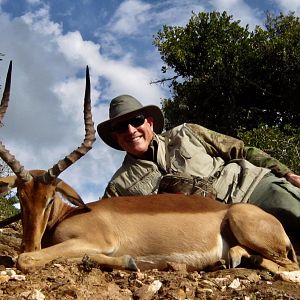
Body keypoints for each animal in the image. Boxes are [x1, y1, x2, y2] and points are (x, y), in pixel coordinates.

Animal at [0, 62, 298, 274]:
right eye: (20, 197)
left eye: (50, 199)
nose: (29, 243)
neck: (70, 214)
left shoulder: (96, 241)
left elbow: (26, 260)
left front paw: (131, 262)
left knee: (289, 268)